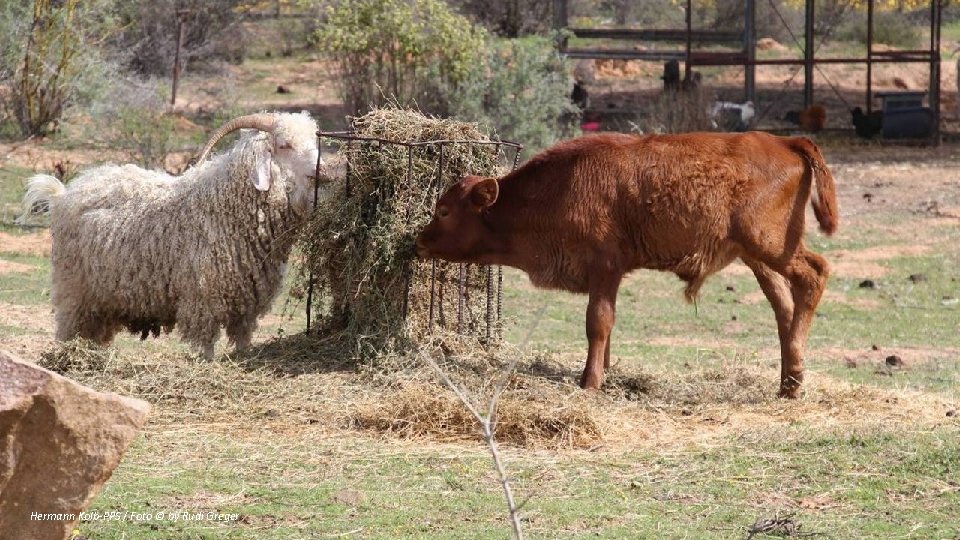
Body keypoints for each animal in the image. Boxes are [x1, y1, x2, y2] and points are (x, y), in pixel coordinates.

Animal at [19, 112, 338, 356]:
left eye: (314, 141)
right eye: (284, 145)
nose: (325, 171)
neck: (224, 208)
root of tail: (64, 193)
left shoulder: (245, 308)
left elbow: (242, 343)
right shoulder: (202, 302)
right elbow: (204, 348)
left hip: (104, 299)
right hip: (74, 290)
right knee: (68, 330)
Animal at [416, 131, 836, 396]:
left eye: (444, 210)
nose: (419, 240)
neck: (561, 187)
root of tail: (784, 141)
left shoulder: (605, 266)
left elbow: (598, 322)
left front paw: (589, 381)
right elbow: (608, 324)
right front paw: (605, 370)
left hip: (770, 247)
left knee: (813, 276)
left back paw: (794, 378)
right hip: (758, 259)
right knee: (784, 307)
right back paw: (788, 382)